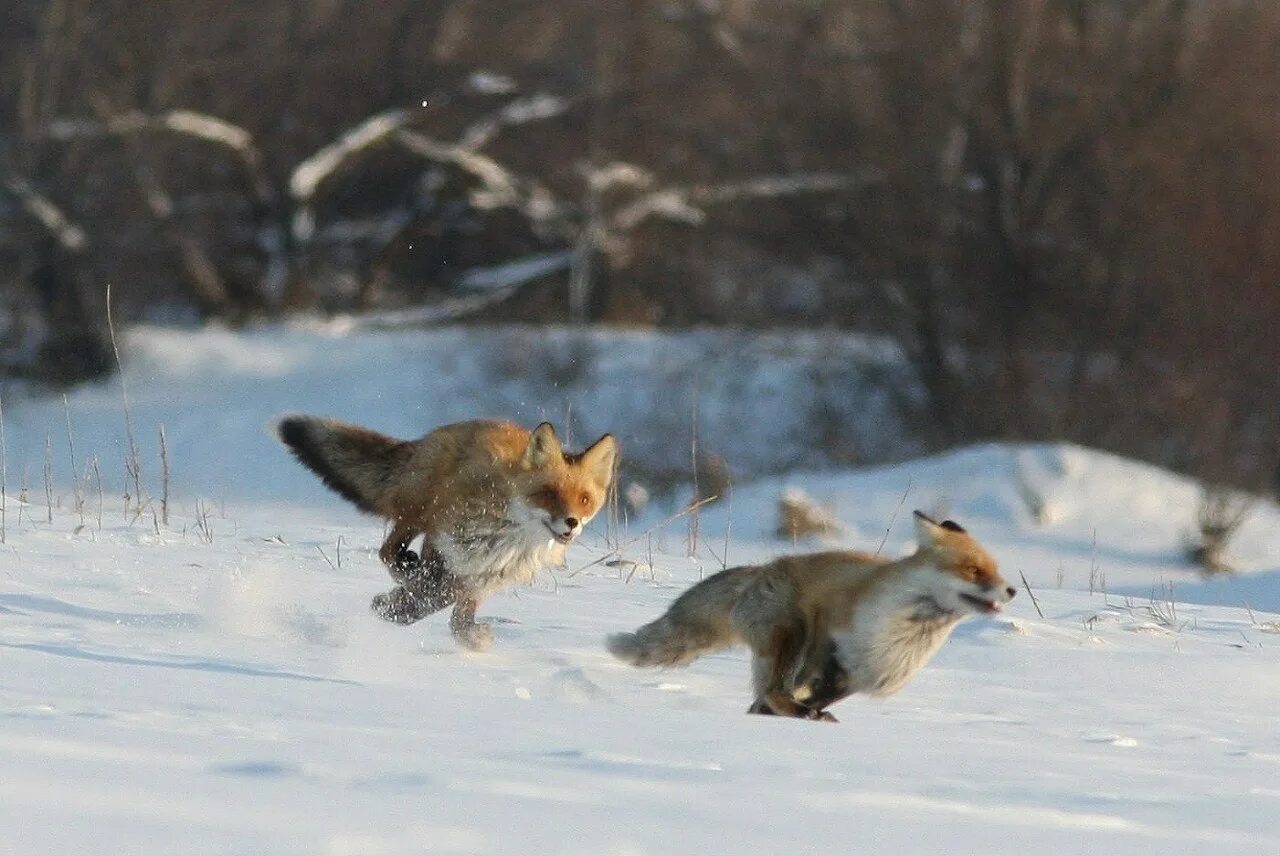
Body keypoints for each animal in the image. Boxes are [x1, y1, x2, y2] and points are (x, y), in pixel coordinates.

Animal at [281, 414, 619, 647]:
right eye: (548, 494)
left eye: (584, 500)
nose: (572, 522)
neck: (511, 538)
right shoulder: (448, 539)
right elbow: (433, 589)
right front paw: (401, 599)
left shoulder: (487, 575)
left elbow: (456, 614)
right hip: (419, 511)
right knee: (389, 550)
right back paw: (405, 567)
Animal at [604, 511, 1013, 716]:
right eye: (974, 571)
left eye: (997, 570)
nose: (1011, 590)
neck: (904, 632)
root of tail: (764, 568)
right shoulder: (831, 642)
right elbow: (794, 697)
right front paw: (803, 716)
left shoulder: (859, 674)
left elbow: (822, 698)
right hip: (792, 634)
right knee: (772, 691)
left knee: (765, 697)